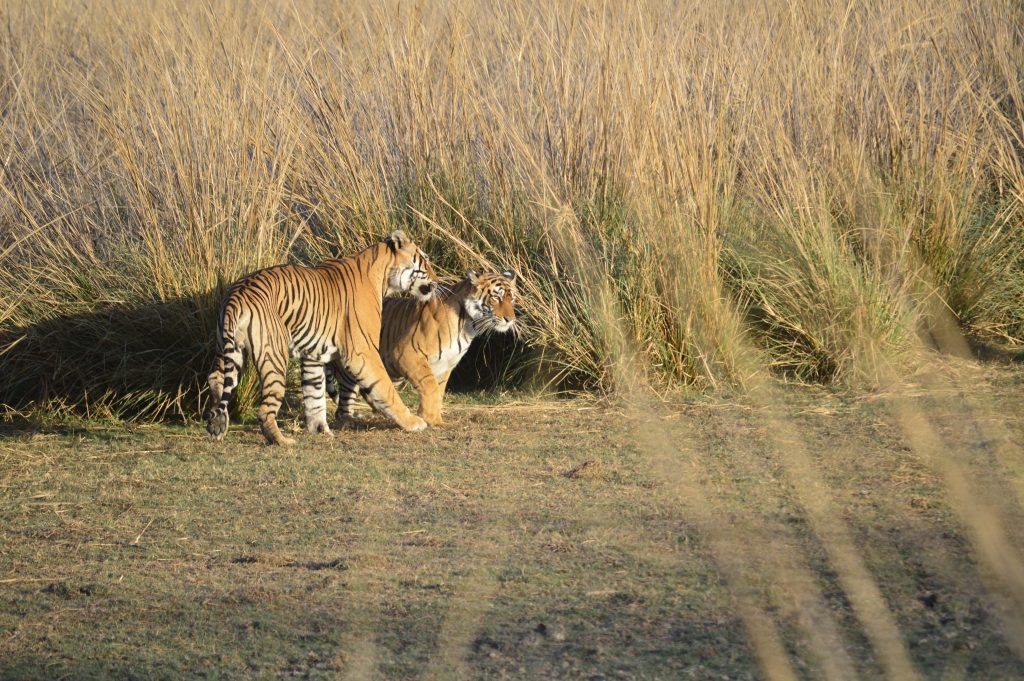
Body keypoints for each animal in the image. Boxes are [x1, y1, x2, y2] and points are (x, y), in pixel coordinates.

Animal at [203, 229, 436, 446]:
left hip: (230, 350)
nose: (436, 282)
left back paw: (218, 427)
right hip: (273, 357)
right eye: (424, 260)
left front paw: (320, 429)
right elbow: (385, 387)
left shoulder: (313, 354)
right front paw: (413, 422)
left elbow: (314, 394)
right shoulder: (363, 352)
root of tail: (237, 294)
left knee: (216, 379)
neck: (382, 274)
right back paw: (282, 440)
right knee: (265, 408)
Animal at [325, 270, 520, 426]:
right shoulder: (405, 354)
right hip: (351, 369)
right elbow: (430, 386)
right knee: (343, 406)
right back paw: (349, 422)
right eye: (496, 298)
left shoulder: (445, 365)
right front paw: (429, 418)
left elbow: (438, 392)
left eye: (511, 298)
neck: (469, 325)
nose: (510, 319)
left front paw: (435, 419)